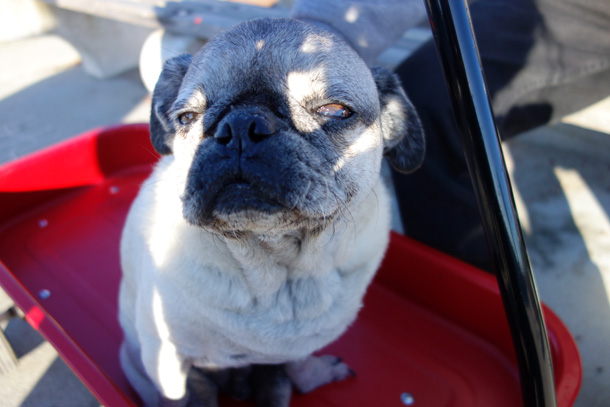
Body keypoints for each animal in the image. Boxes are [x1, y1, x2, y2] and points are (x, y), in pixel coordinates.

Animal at [118, 18, 424, 407]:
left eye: (336, 111)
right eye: (186, 118)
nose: (240, 126)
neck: (279, 272)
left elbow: (295, 360)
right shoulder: (166, 359)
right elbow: (181, 391)